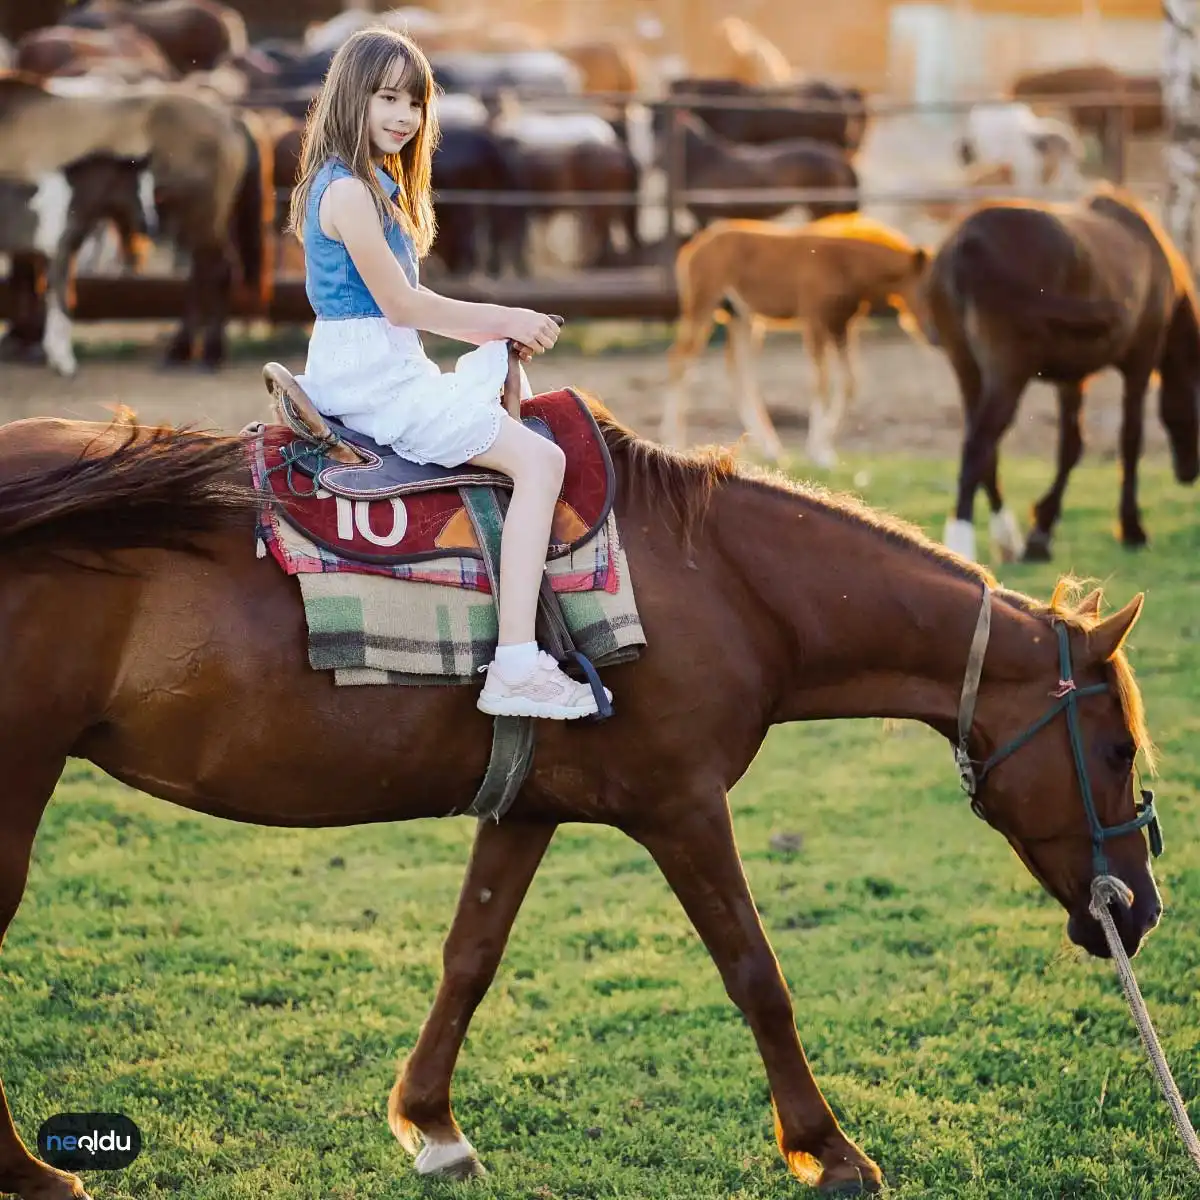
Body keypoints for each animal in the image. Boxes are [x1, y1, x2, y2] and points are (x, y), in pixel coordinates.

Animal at [0, 152, 156, 372]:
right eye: (136, 188)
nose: (151, 227)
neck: (70, 204)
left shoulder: (56, 259)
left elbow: (57, 303)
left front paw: (56, 358)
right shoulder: (60, 256)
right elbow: (63, 305)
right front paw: (66, 364)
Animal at [0, 398, 1166, 1195]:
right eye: (1114, 748)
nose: (1143, 907)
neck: (732, 585)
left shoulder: (525, 809)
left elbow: (469, 959)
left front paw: (430, 1123)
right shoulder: (683, 807)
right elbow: (758, 975)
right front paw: (827, 1149)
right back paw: (36, 1173)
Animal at [662, 216, 931, 463]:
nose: (932, 334)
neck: (844, 263)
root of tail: (695, 246)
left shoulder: (841, 326)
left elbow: (849, 383)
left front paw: (825, 449)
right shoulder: (815, 321)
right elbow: (820, 383)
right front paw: (818, 453)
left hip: (742, 318)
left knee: (740, 377)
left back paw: (772, 450)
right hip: (702, 308)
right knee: (678, 361)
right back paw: (673, 442)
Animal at [921, 184, 1195, 564]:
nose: (1189, 472)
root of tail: (967, 242)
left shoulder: (1072, 378)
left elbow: (1070, 446)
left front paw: (1041, 534)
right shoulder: (1139, 363)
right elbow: (1130, 439)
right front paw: (1132, 529)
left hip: (967, 368)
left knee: (984, 450)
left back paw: (1006, 540)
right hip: (1008, 374)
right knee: (978, 446)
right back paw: (962, 548)